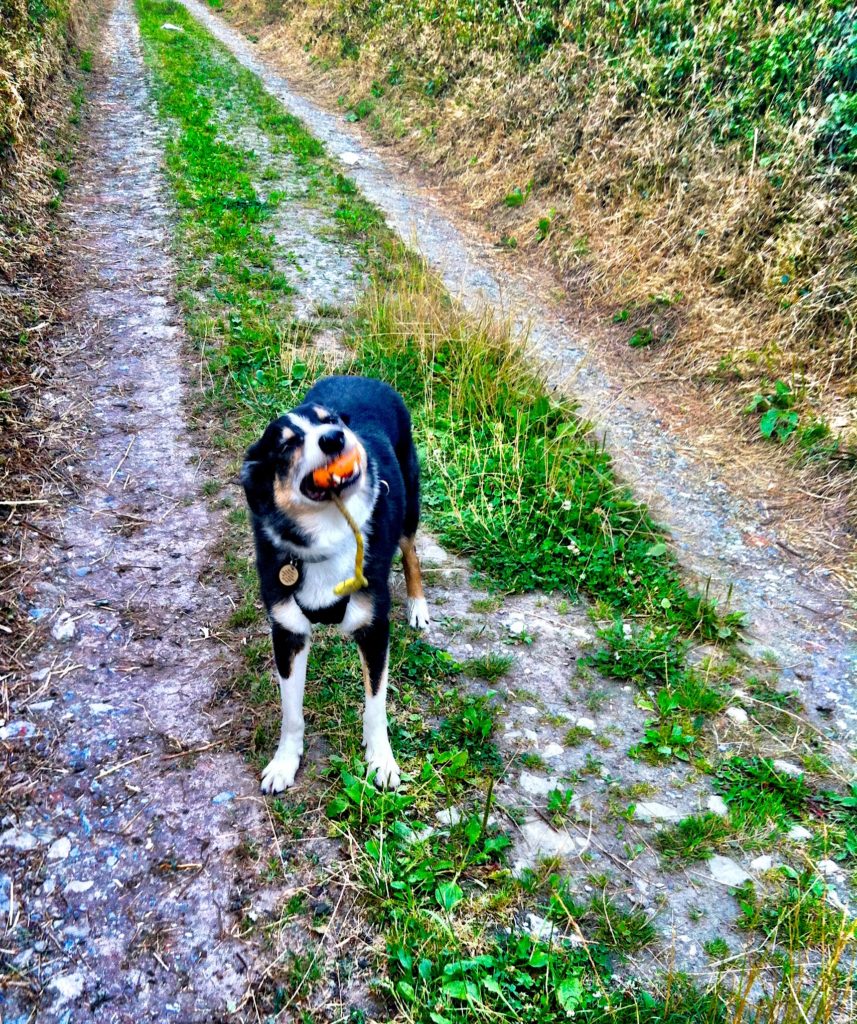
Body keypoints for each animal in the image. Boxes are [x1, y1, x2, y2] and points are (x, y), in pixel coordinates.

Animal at [240, 376, 427, 790]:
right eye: (286, 444)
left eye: (331, 421)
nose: (333, 438)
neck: (330, 532)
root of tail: (363, 377)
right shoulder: (287, 632)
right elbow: (291, 712)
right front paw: (284, 762)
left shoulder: (374, 629)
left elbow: (376, 706)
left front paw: (381, 761)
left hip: (410, 500)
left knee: (411, 552)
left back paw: (418, 606)